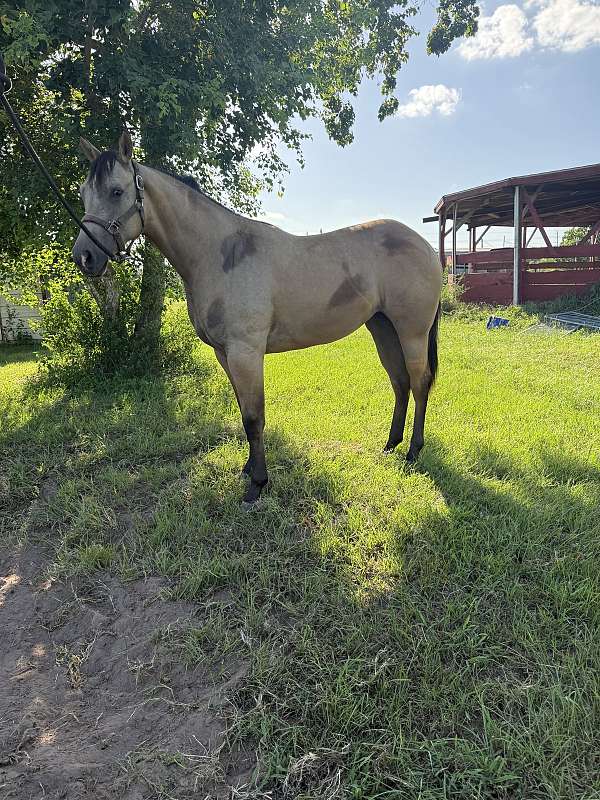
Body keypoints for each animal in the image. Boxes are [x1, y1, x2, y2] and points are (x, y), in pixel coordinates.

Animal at [72, 131, 442, 505]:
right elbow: (243, 411)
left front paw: (257, 484)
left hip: (411, 332)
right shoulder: (225, 354)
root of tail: (425, 246)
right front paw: (249, 468)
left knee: (419, 381)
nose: (84, 257)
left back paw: (413, 451)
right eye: (83, 193)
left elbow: (254, 417)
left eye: (116, 191)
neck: (219, 254)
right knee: (399, 382)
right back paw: (390, 445)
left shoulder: (245, 353)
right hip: (383, 328)